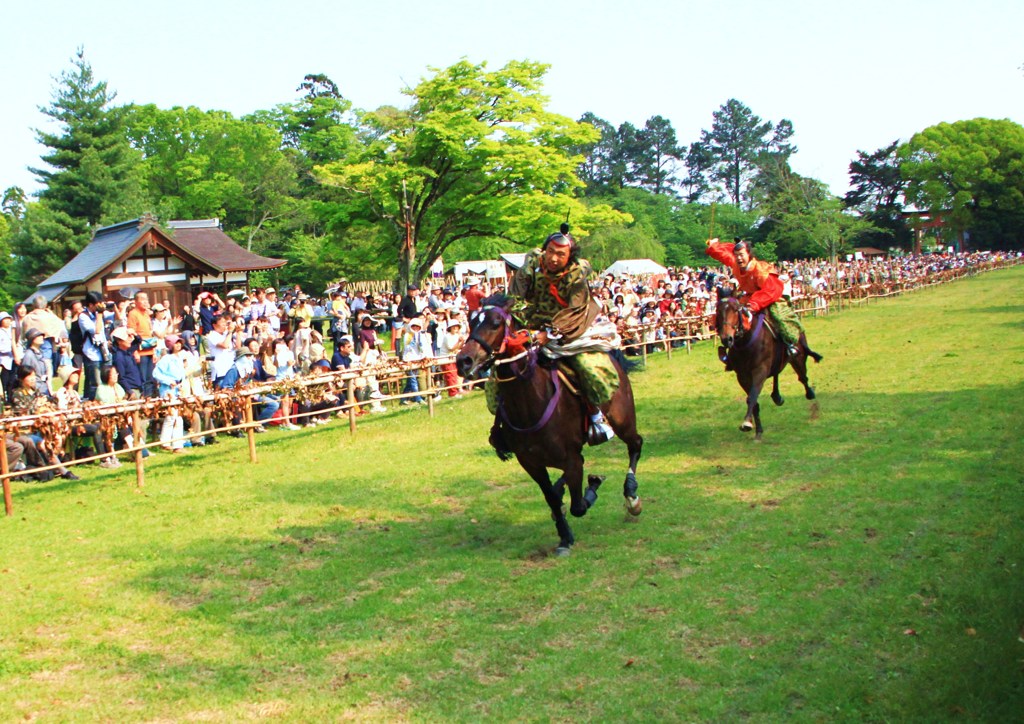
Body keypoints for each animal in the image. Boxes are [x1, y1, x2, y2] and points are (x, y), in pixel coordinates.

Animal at [460, 294, 643, 557]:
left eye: (495, 323)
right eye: (470, 321)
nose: (463, 360)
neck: (530, 403)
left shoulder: (570, 458)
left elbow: (579, 505)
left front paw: (592, 487)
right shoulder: (531, 463)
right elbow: (552, 499)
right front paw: (565, 535)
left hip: (623, 420)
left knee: (635, 444)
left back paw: (631, 496)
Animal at [720, 290, 823, 442]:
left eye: (736, 310)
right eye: (718, 311)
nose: (727, 338)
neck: (747, 343)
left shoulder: (760, 370)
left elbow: (752, 396)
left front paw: (746, 423)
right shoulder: (742, 376)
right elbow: (753, 400)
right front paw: (757, 430)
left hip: (798, 358)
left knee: (803, 377)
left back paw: (809, 393)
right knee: (777, 373)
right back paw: (777, 396)